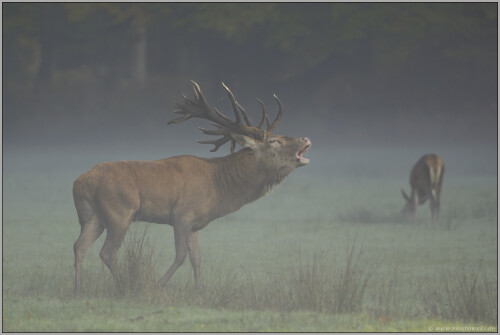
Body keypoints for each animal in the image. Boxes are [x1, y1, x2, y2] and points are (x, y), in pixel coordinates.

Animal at [72, 81, 310, 294]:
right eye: (274, 141)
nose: (305, 138)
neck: (219, 188)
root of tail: (80, 182)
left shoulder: (195, 224)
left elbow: (197, 258)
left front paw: (199, 290)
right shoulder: (181, 214)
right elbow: (181, 256)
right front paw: (159, 284)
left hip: (92, 216)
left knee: (79, 246)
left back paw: (79, 288)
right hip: (120, 212)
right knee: (107, 252)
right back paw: (127, 283)